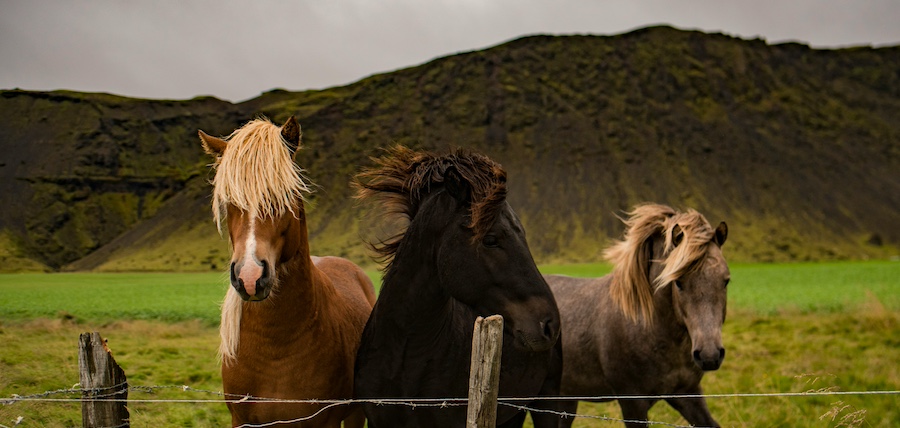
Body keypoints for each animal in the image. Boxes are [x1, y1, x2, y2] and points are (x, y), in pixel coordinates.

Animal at [198, 116, 376, 427]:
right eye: (229, 201)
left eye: (284, 195)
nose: (249, 277)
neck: (275, 347)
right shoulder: (240, 419)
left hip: (355, 413)